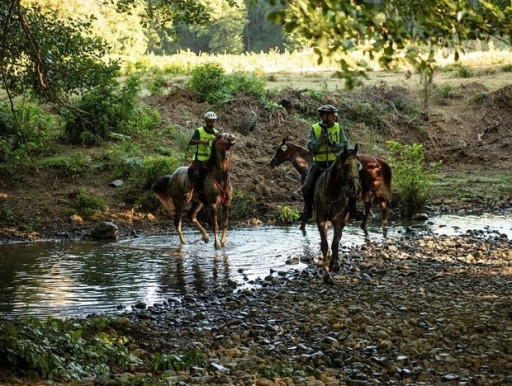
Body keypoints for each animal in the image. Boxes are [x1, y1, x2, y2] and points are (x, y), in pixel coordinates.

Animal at [314, 143, 362, 272]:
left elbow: (335, 242)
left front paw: (334, 264)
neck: (332, 192)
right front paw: (326, 270)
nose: (356, 188)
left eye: (358, 165)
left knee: (339, 237)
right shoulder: (321, 219)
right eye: (345, 166)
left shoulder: (338, 219)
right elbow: (324, 244)